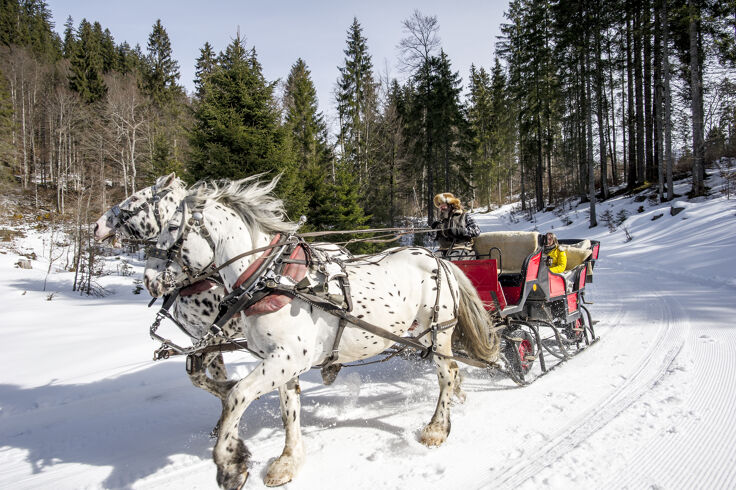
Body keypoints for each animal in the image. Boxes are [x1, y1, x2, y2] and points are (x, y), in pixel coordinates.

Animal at [144, 176, 500, 490]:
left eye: (172, 228)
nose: (149, 279)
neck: (273, 280)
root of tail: (440, 260)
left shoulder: (286, 358)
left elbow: (236, 396)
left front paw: (231, 466)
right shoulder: (282, 363)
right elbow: (289, 410)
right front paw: (288, 461)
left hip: (438, 329)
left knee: (447, 372)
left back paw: (437, 428)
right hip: (423, 334)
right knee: (453, 371)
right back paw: (457, 399)